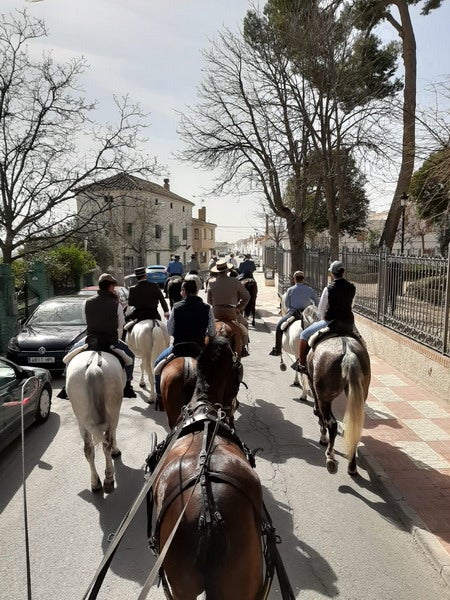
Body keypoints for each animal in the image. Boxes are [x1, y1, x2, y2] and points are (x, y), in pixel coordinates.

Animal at [65, 352, 125, 492]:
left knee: (88, 449)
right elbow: (114, 434)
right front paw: (115, 450)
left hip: (81, 420)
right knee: (106, 444)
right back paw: (109, 479)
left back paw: (95, 482)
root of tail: (93, 367)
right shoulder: (114, 416)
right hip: (113, 411)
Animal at [308, 336, 370, 476]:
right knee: (354, 427)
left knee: (331, 423)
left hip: (324, 396)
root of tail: (349, 353)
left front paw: (323, 438)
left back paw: (330, 458)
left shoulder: (314, 387)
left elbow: (320, 414)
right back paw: (352, 466)